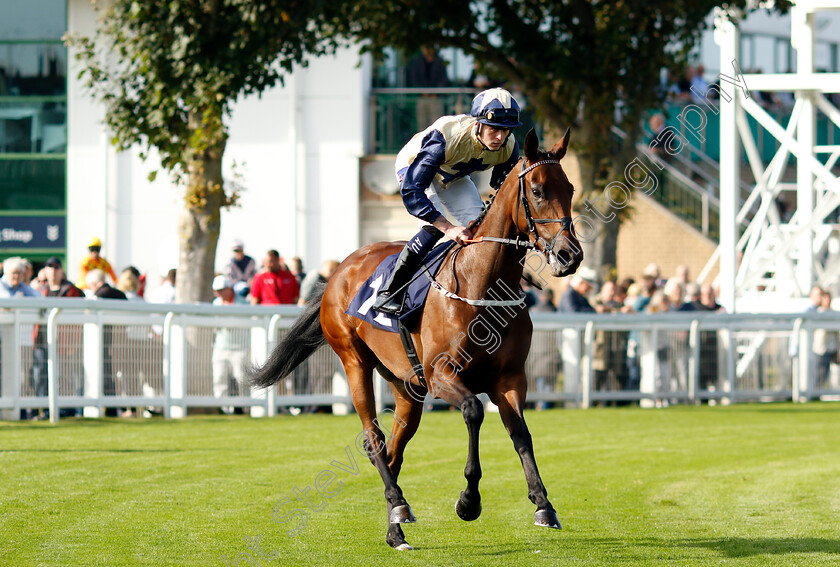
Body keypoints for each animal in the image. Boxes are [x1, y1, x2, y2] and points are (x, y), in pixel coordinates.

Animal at [249, 127, 584, 552]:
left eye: (570, 188)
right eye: (538, 190)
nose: (570, 255)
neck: (481, 284)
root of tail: (339, 270)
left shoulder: (510, 378)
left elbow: (521, 433)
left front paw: (543, 504)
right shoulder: (443, 375)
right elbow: (473, 412)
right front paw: (468, 501)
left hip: (407, 387)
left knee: (394, 449)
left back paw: (396, 527)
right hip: (354, 360)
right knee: (374, 439)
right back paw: (398, 506)